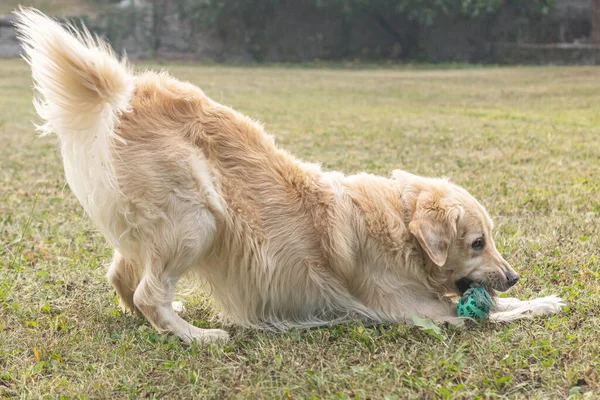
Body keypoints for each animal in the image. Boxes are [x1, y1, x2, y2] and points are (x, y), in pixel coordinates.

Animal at [14, 7, 564, 342]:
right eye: (476, 243)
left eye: (490, 239)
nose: (513, 275)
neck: (401, 225)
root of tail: (125, 92)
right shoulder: (416, 309)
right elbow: (493, 314)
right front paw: (541, 302)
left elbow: (499, 307)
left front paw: (539, 297)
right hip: (198, 220)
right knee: (151, 290)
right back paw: (196, 337)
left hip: (158, 226)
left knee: (125, 278)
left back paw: (167, 323)